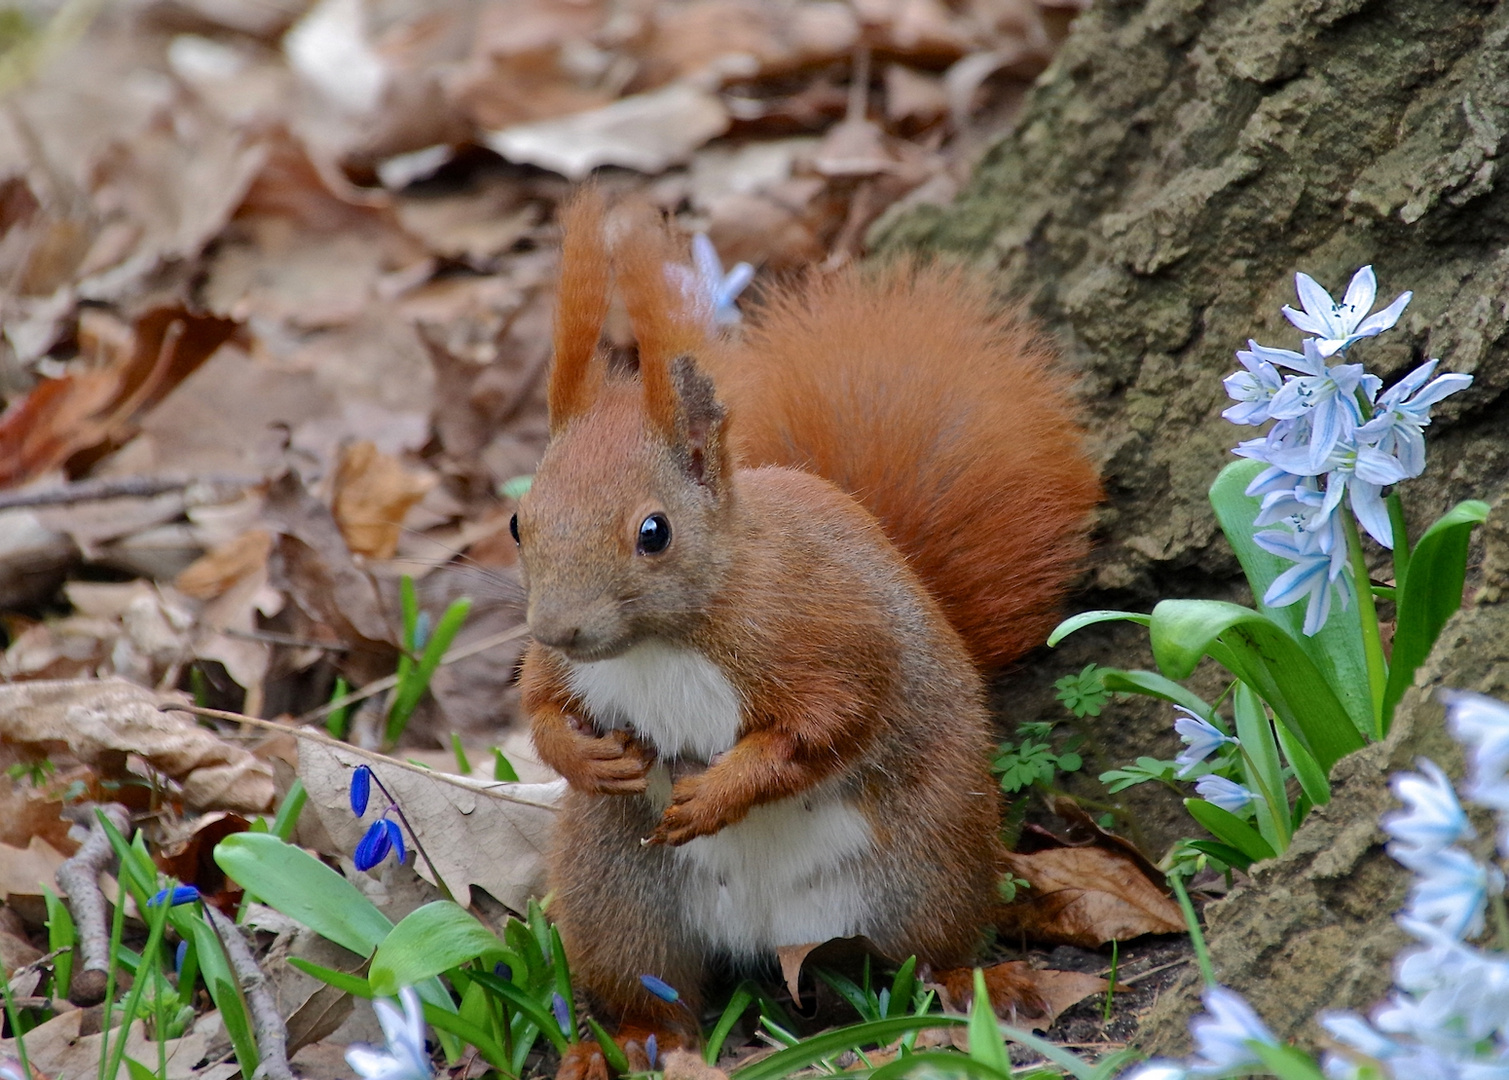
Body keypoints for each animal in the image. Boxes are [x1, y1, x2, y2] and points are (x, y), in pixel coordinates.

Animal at [513, 190, 1104, 1073]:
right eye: (518, 522)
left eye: (653, 532)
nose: (560, 626)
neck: (662, 640)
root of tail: (772, 933)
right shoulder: (561, 668)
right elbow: (540, 707)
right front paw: (584, 756)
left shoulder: (822, 631)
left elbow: (824, 724)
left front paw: (720, 790)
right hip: (616, 897)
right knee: (654, 990)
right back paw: (625, 1042)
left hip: (931, 860)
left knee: (936, 944)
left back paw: (979, 987)